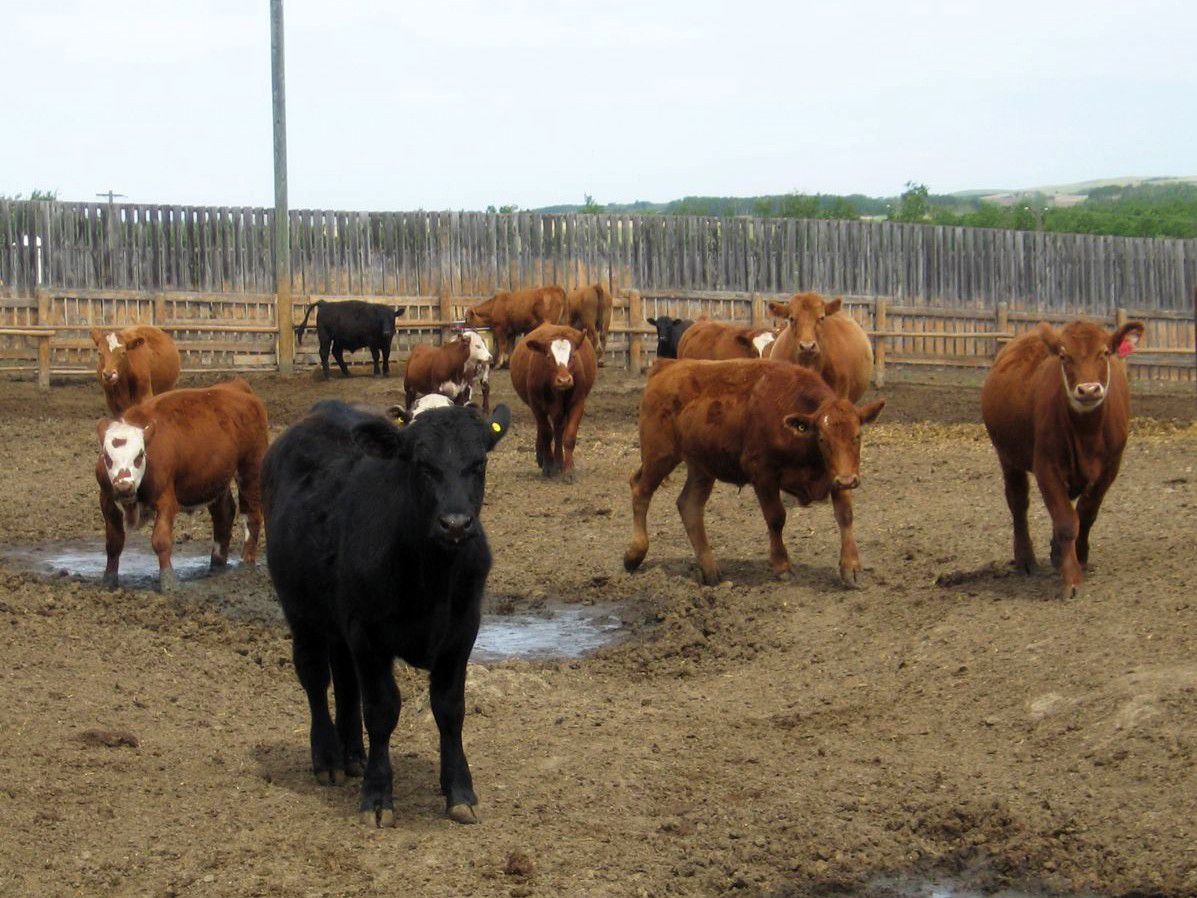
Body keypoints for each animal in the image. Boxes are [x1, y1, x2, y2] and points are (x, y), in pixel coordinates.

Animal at [95, 378, 268, 593]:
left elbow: (160, 541)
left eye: (140, 455)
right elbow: (113, 543)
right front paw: (108, 580)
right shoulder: (107, 501)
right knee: (224, 514)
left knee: (251, 515)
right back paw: (217, 564)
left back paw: (246, 563)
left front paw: (168, 581)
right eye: (107, 457)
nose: (124, 487)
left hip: (251, 467)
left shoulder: (166, 501)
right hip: (215, 478)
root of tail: (237, 386)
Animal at [261, 400, 511, 827]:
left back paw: (353, 755)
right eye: (421, 464)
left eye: (478, 463)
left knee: (345, 682)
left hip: (339, 624)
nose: (456, 524)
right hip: (302, 612)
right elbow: (381, 711)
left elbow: (450, 710)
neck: (432, 578)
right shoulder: (368, 634)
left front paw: (459, 791)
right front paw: (377, 797)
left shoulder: (462, 632)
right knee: (315, 678)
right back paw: (328, 758)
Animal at [509, 322, 597, 482]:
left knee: (558, 428)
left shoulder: (578, 403)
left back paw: (560, 461)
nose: (564, 380)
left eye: (572, 356)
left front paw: (568, 470)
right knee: (546, 428)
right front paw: (549, 466)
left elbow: (569, 436)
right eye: (549, 357)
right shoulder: (537, 405)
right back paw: (544, 459)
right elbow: (546, 432)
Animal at [623, 358, 885, 587]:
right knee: (641, 490)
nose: (848, 480)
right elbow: (776, 518)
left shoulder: (834, 476)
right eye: (822, 439)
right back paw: (634, 554)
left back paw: (710, 570)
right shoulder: (763, 474)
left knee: (689, 505)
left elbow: (845, 516)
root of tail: (666, 366)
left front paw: (851, 567)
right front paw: (782, 566)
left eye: (857, 436)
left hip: (701, 466)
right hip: (660, 455)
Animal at [981, 318, 1144, 599]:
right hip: (1007, 456)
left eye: (1105, 352)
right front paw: (1072, 579)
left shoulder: (1111, 467)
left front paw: (1080, 557)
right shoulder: (1047, 466)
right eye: (1064, 356)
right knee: (1018, 502)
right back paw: (1025, 558)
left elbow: (1086, 513)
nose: (1088, 390)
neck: (1087, 434)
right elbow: (1067, 522)